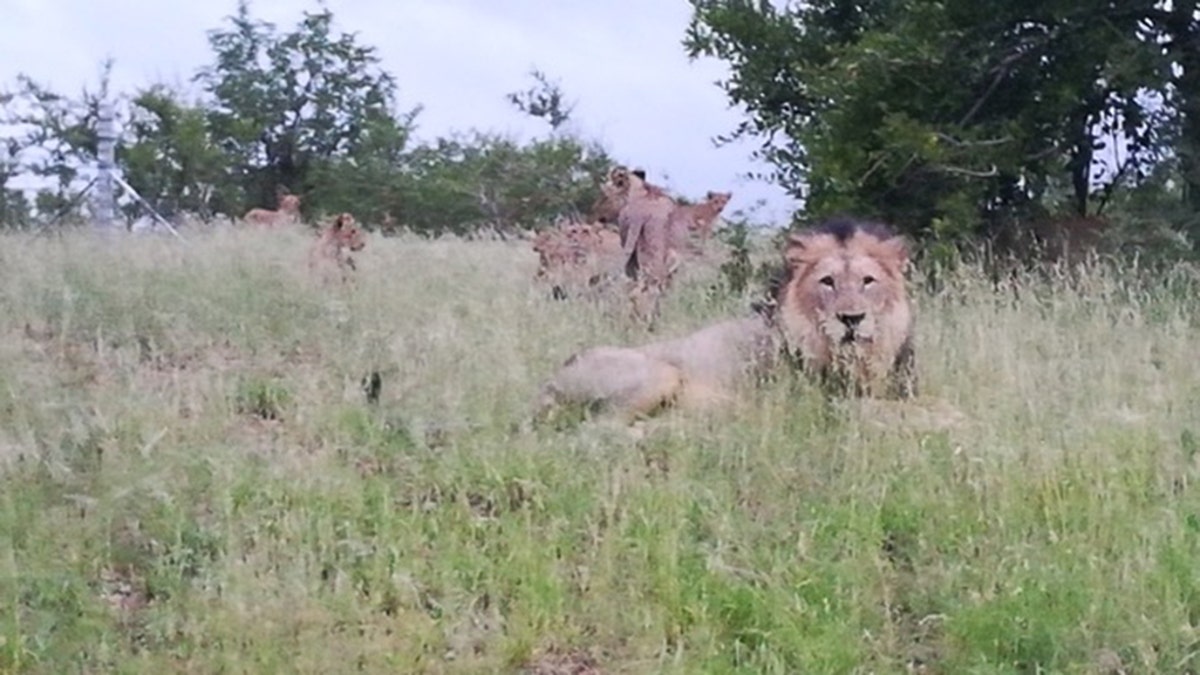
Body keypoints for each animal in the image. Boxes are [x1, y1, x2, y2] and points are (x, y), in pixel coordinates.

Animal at [535, 214, 916, 420]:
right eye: (827, 282)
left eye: (868, 281)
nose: (851, 319)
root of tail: (554, 377)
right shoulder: (828, 401)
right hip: (660, 374)